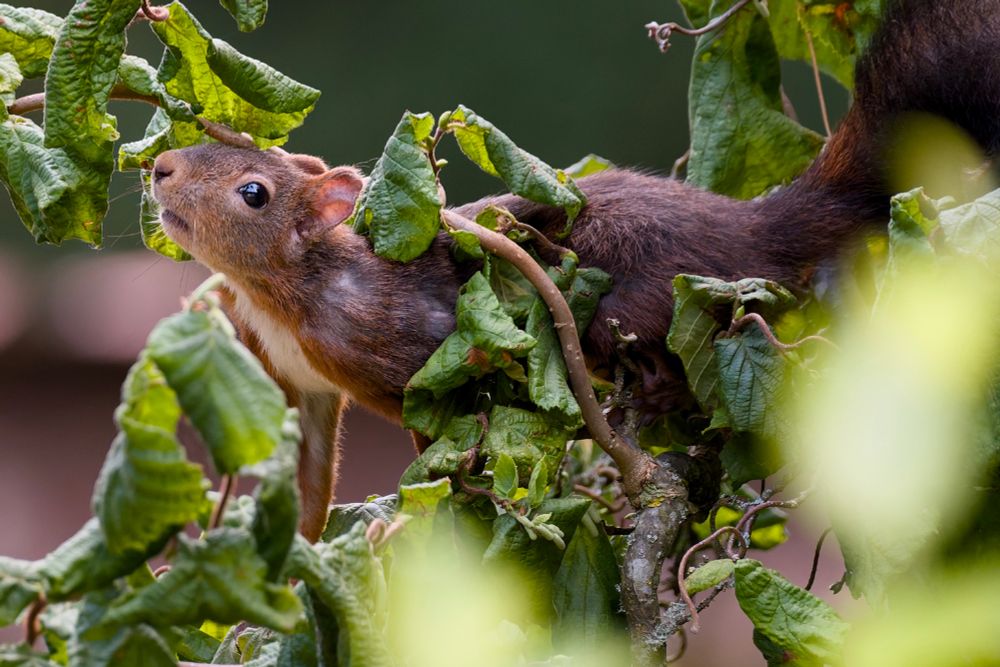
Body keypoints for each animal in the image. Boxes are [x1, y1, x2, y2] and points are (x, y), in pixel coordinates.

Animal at [150, 0, 1000, 541]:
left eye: (253, 191)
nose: (158, 167)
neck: (285, 294)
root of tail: (750, 228)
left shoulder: (404, 346)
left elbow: (455, 429)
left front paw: (405, 519)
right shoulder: (303, 385)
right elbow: (307, 472)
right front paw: (291, 568)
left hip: (641, 292)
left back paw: (653, 391)